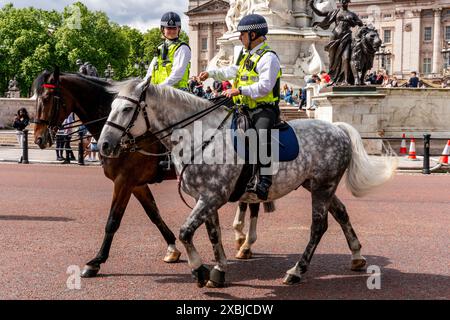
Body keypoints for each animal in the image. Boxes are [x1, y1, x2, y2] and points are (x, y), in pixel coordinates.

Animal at [99, 79, 398, 288]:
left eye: (127, 108)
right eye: (110, 107)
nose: (103, 145)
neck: (200, 137)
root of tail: (338, 127)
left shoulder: (212, 196)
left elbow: (185, 232)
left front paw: (199, 270)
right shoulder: (205, 197)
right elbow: (212, 234)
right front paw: (219, 270)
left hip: (323, 186)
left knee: (318, 226)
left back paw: (296, 271)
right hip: (316, 184)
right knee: (341, 213)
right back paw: (357, 257)